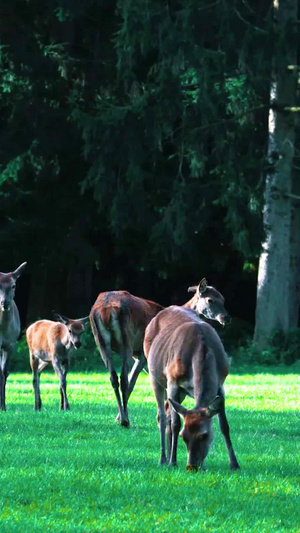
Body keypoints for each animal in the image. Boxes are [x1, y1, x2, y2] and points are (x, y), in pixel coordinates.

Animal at [89, 276, 230, 426]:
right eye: (210, 300)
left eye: (223, 299)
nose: (226, 318)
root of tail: (105, 310)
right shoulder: (143, 355)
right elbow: (135, 383)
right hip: (126, 339)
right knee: (124, 379)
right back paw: (125, 420)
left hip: (100, 341)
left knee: (113, 377)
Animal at [144, 306, 240, 472]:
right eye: (184, 436)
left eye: (205, 435)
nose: (191, 466)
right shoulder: (173, 381)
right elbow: (176, 424)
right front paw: (173, 461)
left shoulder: (220, 385)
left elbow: (224, 425)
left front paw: (234, 464)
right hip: (154, 375)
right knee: (161, 415)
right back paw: (163, 459)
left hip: (181, 392)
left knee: (168, 411)